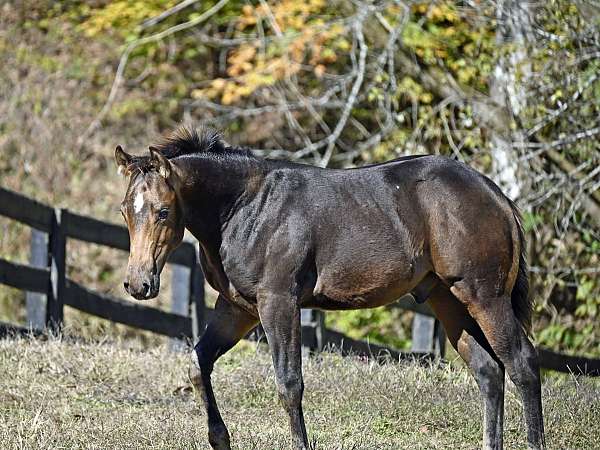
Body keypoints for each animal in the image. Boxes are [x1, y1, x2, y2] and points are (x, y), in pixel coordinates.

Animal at [115, 125, 548, 450]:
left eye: (163, 211)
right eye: (125, 211)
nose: (138, 283)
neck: (244, 208)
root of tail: (497, 196)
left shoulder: (279, 303)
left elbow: (289, 384)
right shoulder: (237, 308)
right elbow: (197, 363)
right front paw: (219, 439)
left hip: (485, 297)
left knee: (521, 364)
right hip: (449, 300)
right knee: (488, 371)